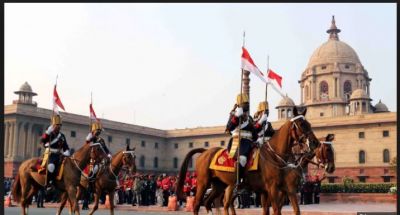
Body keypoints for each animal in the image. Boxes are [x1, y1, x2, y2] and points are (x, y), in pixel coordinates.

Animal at [175, 107, 318, 215]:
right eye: (302, 124)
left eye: (309, 124)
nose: (314, 143)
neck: (275, 156)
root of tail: (205, 152)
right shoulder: (272, 188)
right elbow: (276, 211)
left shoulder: (283, 189)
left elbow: (288, 210)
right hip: (203, 182)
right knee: (198, 204)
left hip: (219, 185)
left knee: (209, 203)